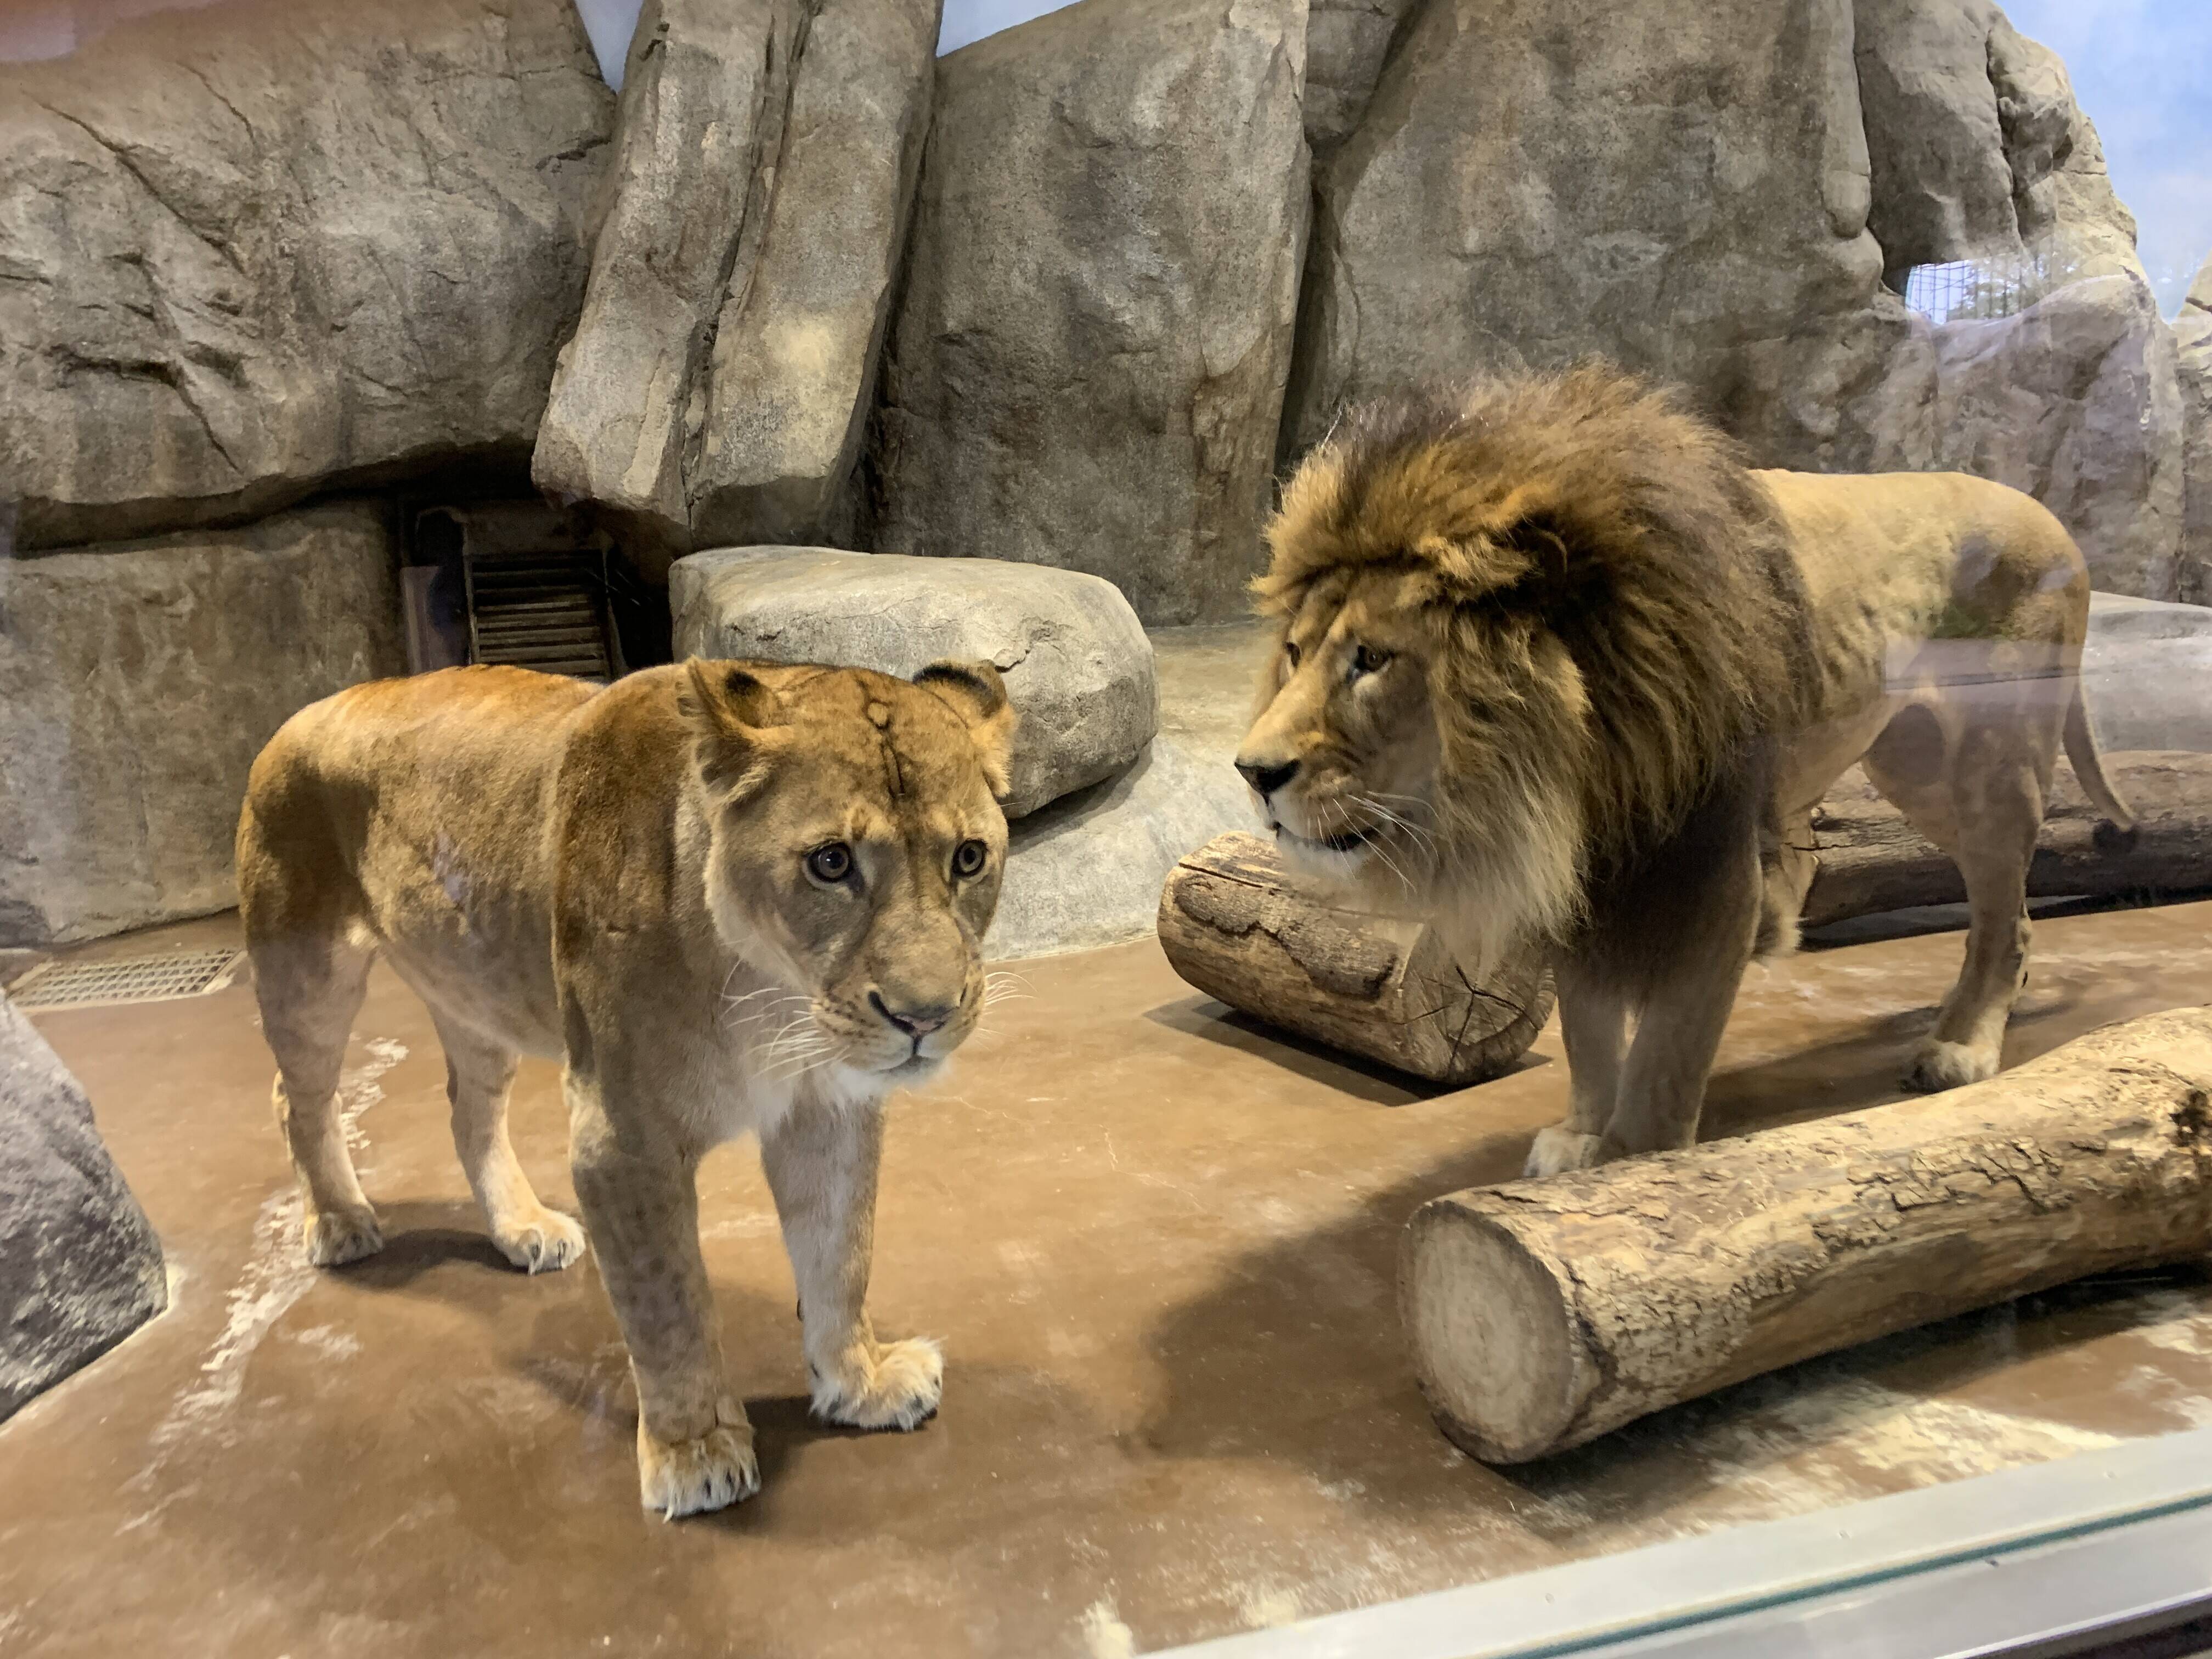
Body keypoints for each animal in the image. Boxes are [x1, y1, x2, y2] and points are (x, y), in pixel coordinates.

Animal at [235, 659, 1017, 1522]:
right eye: (832, 863)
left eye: (970, 859)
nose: (926, 1017)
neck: (775, 995)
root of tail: (310, 709)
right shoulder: (623, 1142)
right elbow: (668, 1304)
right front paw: (695, 1453)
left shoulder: (830, 1112)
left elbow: (843, 1252)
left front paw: (860, 1383)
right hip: (306, 970)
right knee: (294, 1097)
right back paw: (341, 1222)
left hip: (476, 992)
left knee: (469, 1112)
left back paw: (522, 1229)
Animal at [1238, 369, 2132, 1186]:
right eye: (1296, 651)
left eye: (1372, 659)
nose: (1253, 771)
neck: (1579, 755)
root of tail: (2053, 519)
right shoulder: (1592, 868)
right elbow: (1590, 1027)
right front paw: (1582, 1137)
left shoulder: (1711, 873)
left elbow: (1669, 1044)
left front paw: (1636, 1160)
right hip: (1914, 772)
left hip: (1991, 767)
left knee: (2005, 917)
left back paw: (1961, 1046)